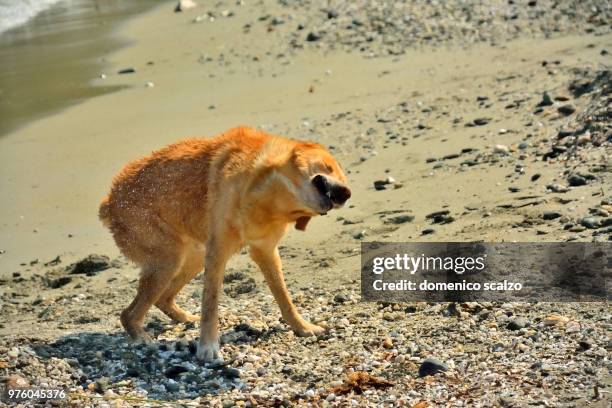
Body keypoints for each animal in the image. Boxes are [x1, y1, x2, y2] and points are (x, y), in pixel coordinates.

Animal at [98, 126, 352, 360]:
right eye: (328, 167)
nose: (347, 194)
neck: (269, 195)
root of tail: (108, 202)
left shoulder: (265, 251)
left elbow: (284, 297)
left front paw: (302, 327)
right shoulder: (218, 252)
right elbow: (210, 305)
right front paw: (207, 347)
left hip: (191, 258)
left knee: (161, 299)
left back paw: (184, 318)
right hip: (168, 261)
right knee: (129, 314)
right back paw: (142, 337)